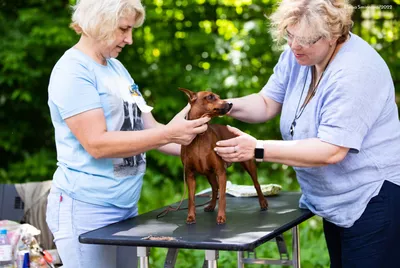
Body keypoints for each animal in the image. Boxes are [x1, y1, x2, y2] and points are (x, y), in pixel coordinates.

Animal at [179, 88, 268, 224]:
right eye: (210, 97)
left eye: (219, 96)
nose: (230, 103)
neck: (199, 136)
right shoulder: (190, 175)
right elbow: (191, 199)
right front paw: (190, 216)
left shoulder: (221, 172)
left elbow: (222, 198)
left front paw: (221, 217)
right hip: (209, 173)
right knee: (215, 188)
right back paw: (211, 205)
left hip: (248, 165)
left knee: (256, 184)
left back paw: (263, 203)